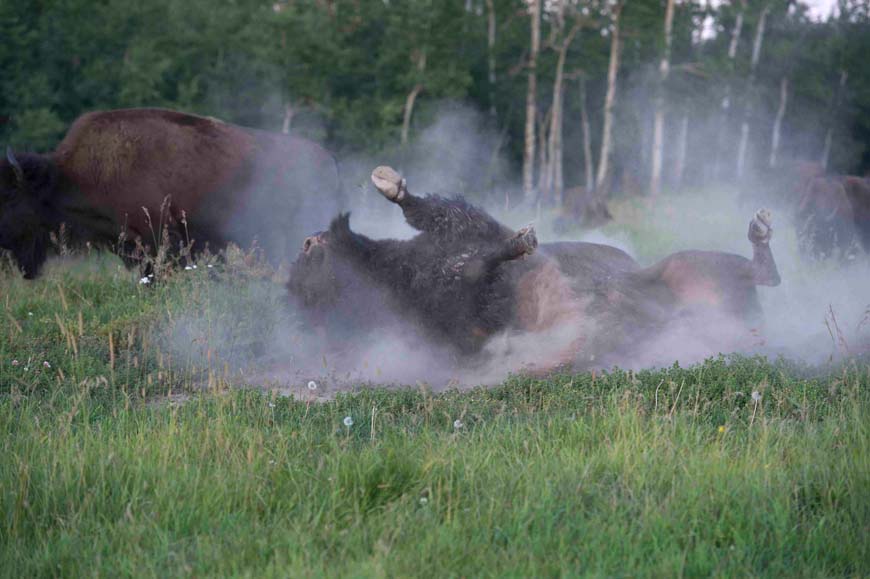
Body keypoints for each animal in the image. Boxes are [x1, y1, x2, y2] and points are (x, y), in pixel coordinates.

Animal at [288, 165, 784, 372]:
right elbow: (475, 264)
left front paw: (390, 184)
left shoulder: (456, 231)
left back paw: (760, 227)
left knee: (760, 274)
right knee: (763, 278)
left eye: (307, 251)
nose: (309, 238)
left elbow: (430, 212)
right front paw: (520, 241)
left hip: (682, 265)